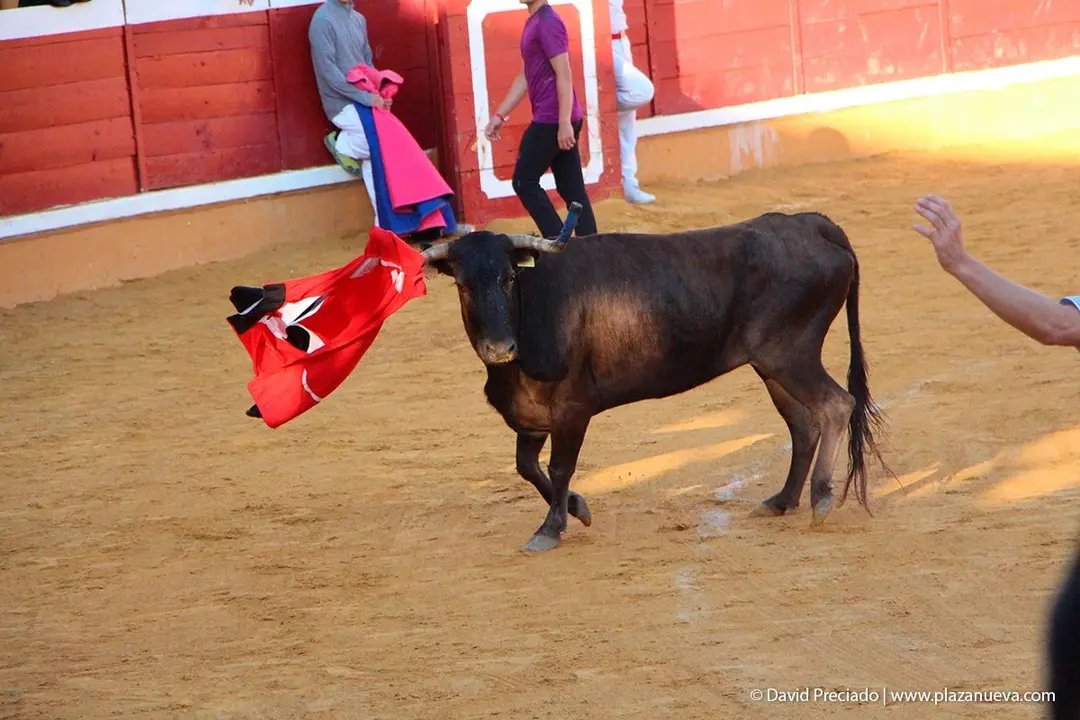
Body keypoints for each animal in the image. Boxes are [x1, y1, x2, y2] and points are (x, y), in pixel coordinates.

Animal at [418, 211, 890, 551]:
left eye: (509, 277)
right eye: (462, 284)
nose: (500, 347)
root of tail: (811, 223)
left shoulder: (573, 410)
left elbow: (559, 466)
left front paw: (550, 528)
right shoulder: (531, 416)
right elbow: (527, 466)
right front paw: (578, 508)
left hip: (790, 354)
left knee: (835, 405)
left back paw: (821, 498)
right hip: (772, 365)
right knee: (802, 424)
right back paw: (782, 500)